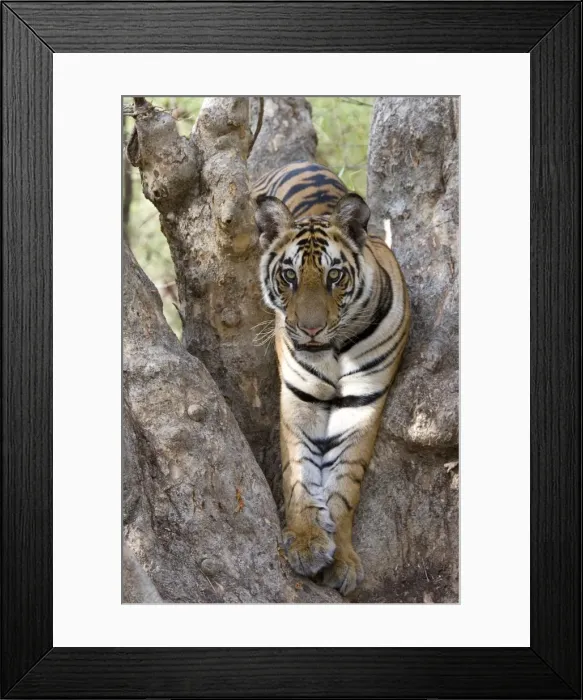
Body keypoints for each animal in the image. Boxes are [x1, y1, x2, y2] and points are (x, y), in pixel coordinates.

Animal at [253, 162, 410, 595]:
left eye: (334, 276)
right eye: (289, 276)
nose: (309, 330)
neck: (334, 349)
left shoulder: (361, 402)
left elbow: (344, 482)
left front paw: (340, 559)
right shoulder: (300, 398)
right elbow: (299, 472)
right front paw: (307, 541)